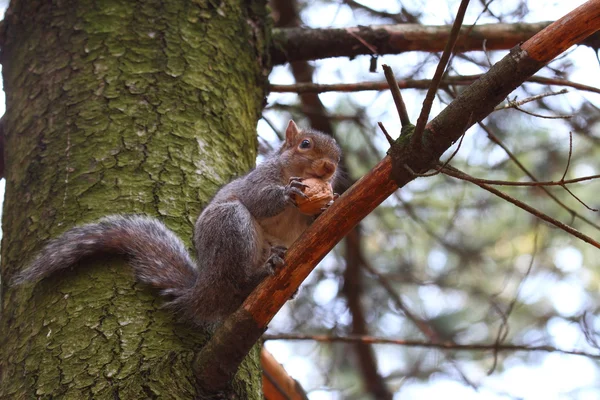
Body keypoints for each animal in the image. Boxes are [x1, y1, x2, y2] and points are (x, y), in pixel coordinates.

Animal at [14, 120, 340, 326]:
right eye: (305, 144)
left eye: (338, 155)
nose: (330, 167)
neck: (292, 172)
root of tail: (204, 291)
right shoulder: (258, 180)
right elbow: (258, 199)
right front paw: (289, 193)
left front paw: (328, 204)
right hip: (229, 226)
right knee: (235, 283)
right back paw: (258, 274)